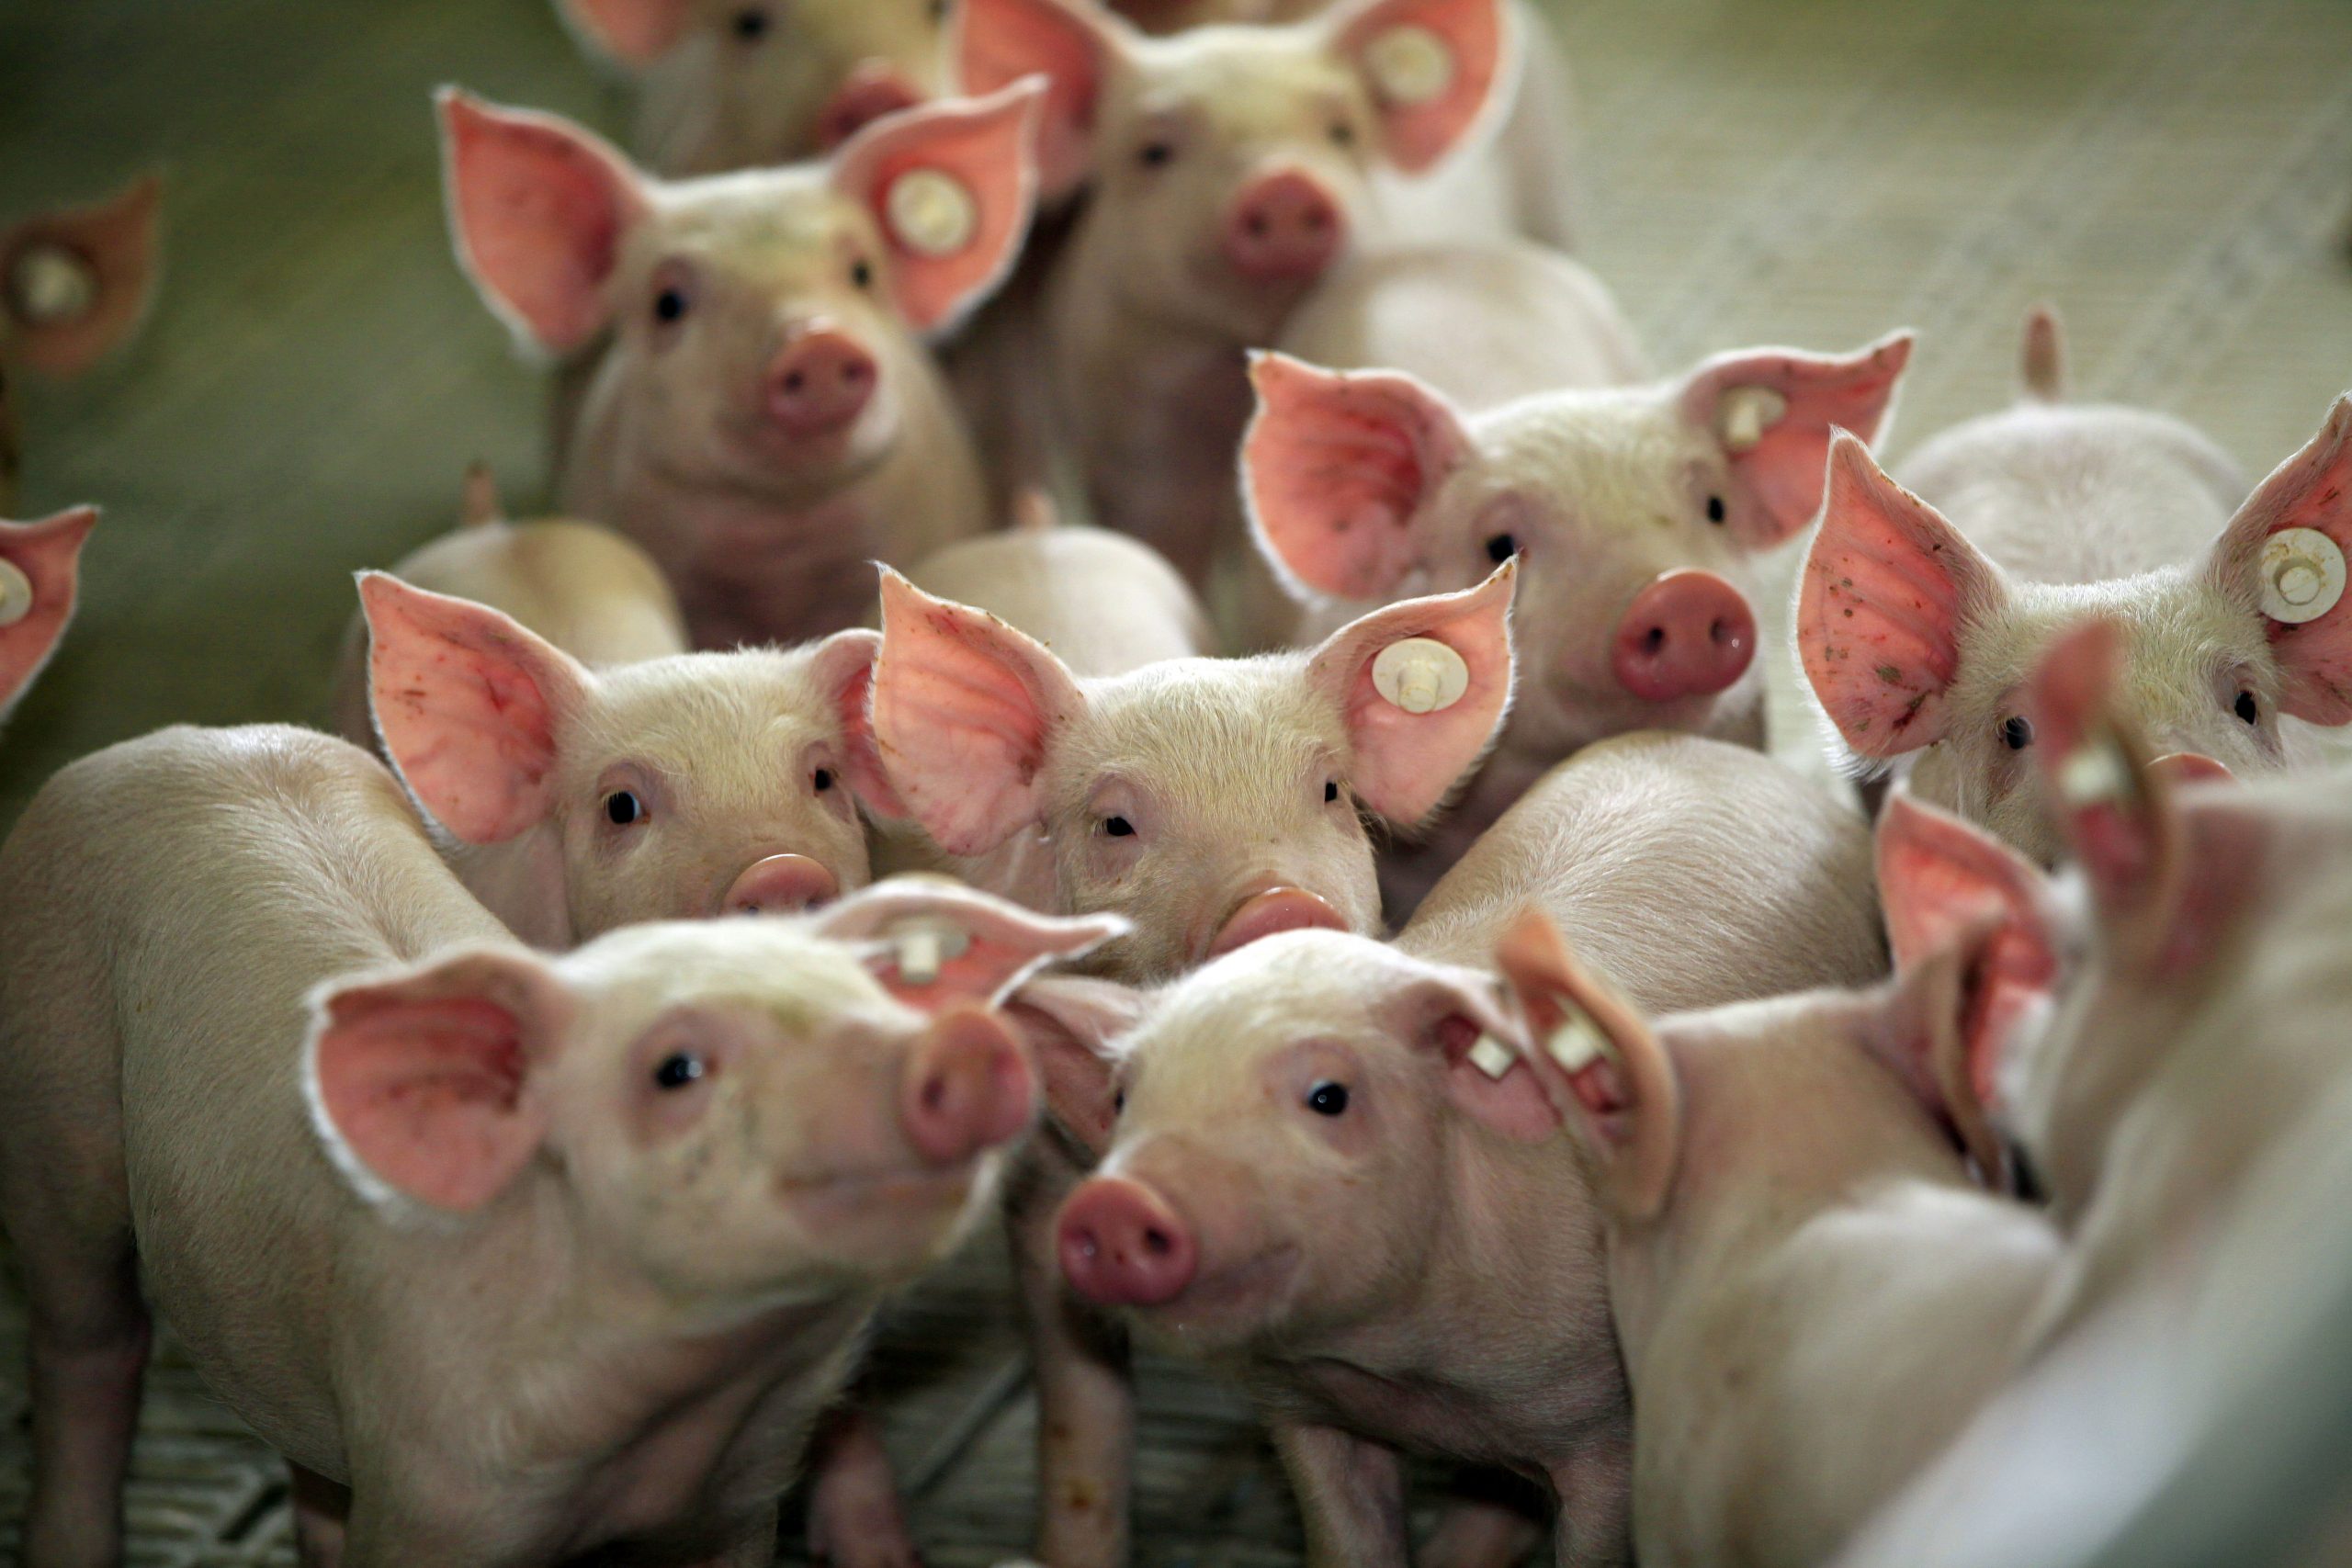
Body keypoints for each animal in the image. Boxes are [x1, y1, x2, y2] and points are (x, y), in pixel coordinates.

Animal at [0, 720, 1120, 1568]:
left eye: (873, 995)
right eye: (675, 1069)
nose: (962, 1043)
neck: (667, 1414)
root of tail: (172, 739)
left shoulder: (736, 1499)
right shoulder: (433, 1482)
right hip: (55, 1103)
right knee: (88, 1343)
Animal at [1039, 731, 1886, 1566]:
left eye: (1330, 1096)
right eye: (1125, 1098)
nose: (1117, 1200)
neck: (1407, 1370)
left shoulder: (1607, 1425)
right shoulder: (1302, 1409)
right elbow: (1346, 1539)